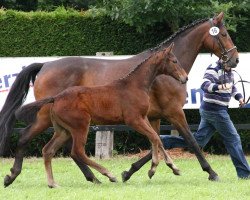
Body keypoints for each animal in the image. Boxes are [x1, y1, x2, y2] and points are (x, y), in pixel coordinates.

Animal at [16, 43, 188, 187]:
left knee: (48, 150)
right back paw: (108, 175)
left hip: (63, 130)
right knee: (77, 151)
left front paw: (173, 167)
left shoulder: (143, 118)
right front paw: (152, 169)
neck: (135, 85)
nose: (185, 78)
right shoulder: (133, 120)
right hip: (80, 126)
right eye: (174, 61)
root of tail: (56, 98)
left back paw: (52, 183)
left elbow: (156, 138)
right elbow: (154, 137)